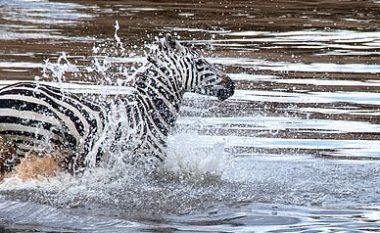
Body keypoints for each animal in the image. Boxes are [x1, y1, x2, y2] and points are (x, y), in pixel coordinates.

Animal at [0, 33, 235, 174]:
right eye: (200, 63)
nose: (232, 85)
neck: (149, 114)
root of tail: (6, 90)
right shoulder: (144, 164)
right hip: (32, 144)